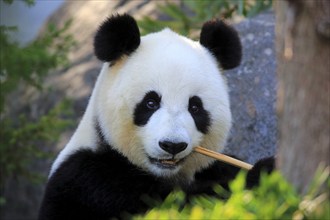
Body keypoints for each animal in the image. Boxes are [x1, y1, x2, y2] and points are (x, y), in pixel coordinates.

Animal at [38, 14, 274, 220]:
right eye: (151, 103)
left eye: (195, 107)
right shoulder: (91, 181)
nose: (172, 145)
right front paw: (262, 173)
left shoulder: (211, 167)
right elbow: (178, 205)